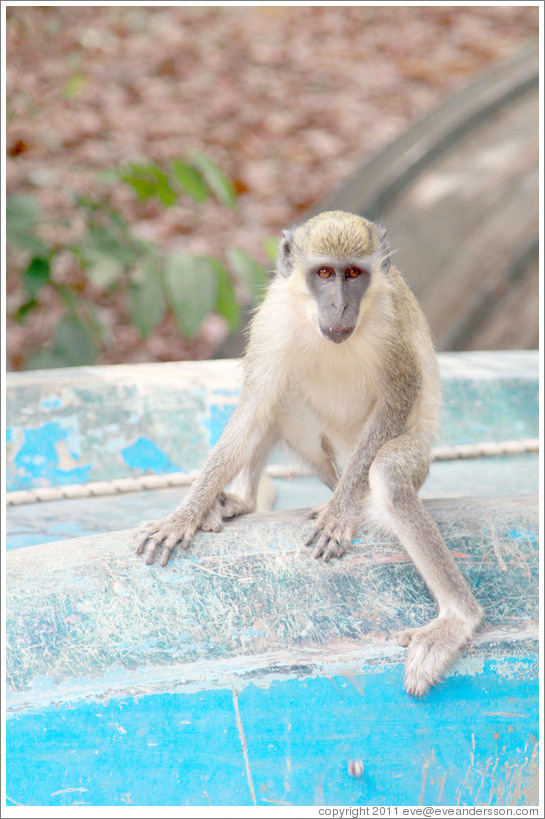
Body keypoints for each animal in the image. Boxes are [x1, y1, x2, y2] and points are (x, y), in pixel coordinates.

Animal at [136, 211, 480, 700]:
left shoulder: (391, 321)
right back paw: (239, 502)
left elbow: (399, 396)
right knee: (277, 397)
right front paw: (185, 514)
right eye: (324, 274)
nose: (338, 306)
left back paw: (455, 617)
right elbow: (254, 405)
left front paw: (338, 513)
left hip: (407, 459)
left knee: (389, 476)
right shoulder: (273, 318)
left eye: (353, 274)